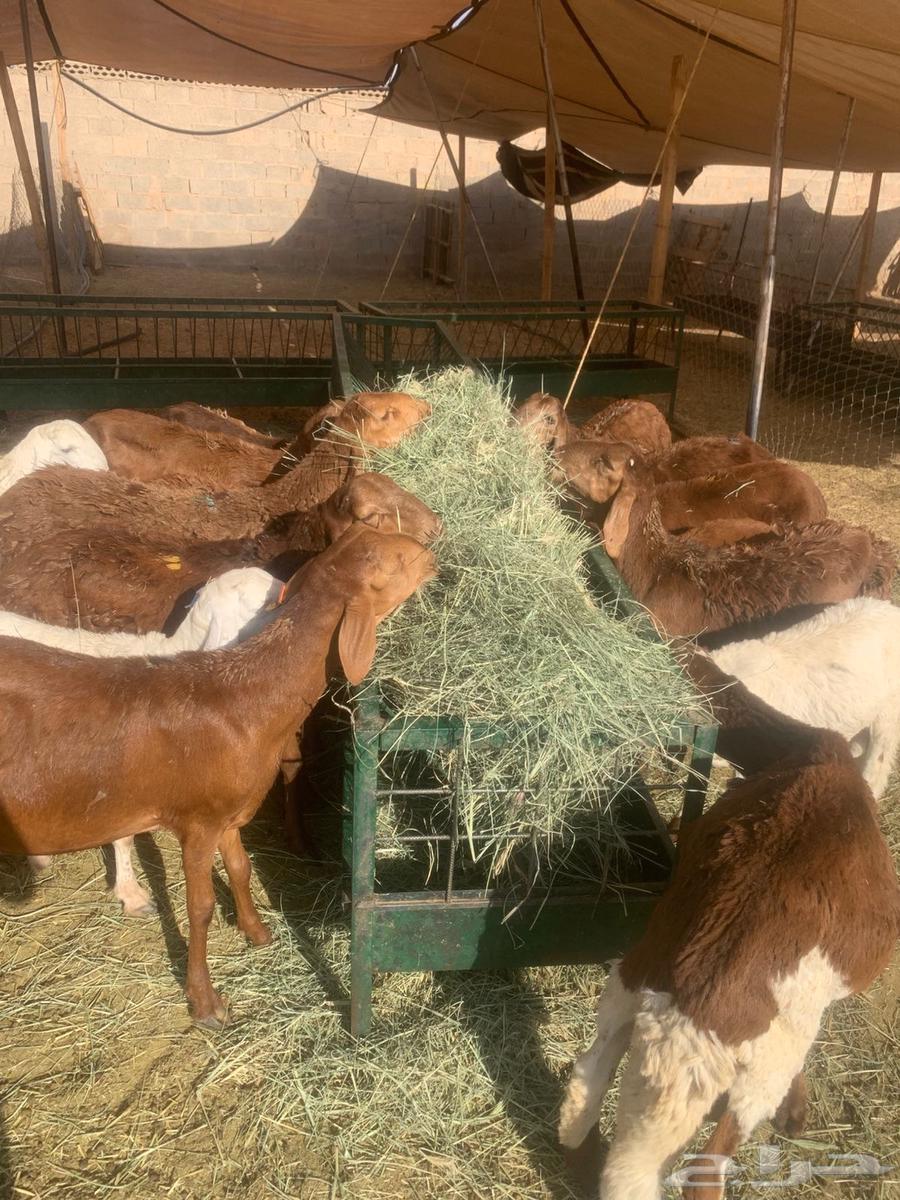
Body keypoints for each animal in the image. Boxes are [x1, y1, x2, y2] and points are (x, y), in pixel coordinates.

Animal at [559, 729, 900, 1200]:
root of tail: (690, 1022)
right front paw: (796, 1112)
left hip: (625, 990)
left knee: (584, 1089)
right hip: (761, 1072)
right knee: (707, 1168)